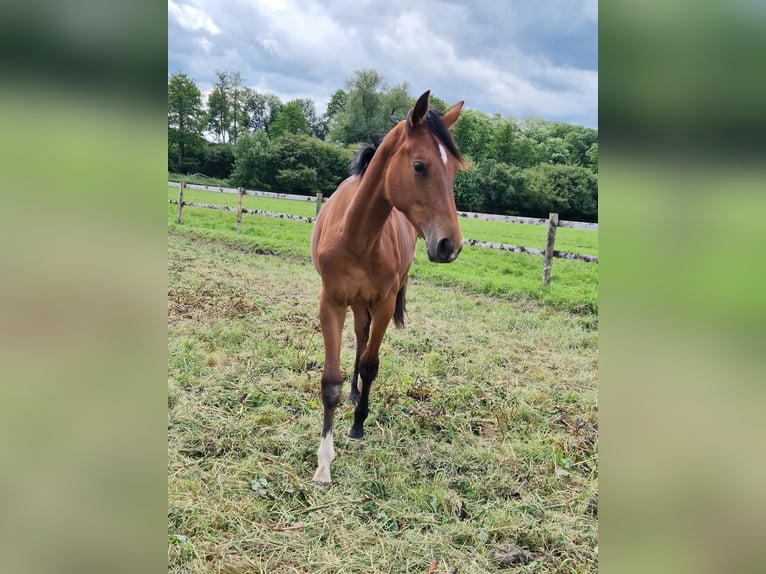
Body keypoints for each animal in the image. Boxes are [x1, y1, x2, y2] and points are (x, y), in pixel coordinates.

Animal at [308, 90, 464, 486]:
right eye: (420, 166)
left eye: (454, 172)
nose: (450, 245)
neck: (357, 237)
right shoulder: (330, 302)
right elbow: (330, 381)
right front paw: (324, 462)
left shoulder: (383, 303)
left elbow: (370, 365)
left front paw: (358, 425)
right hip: (354, 304)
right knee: (359, 338)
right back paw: (352, 396)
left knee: (365, 345)